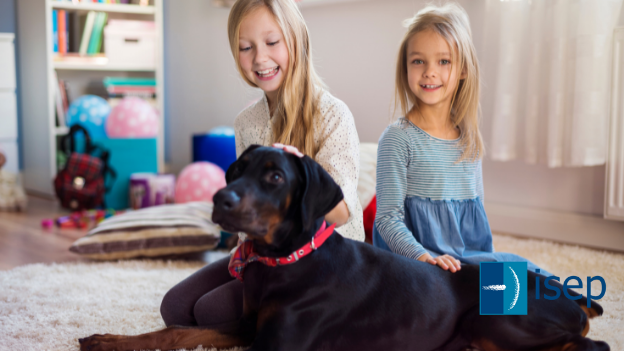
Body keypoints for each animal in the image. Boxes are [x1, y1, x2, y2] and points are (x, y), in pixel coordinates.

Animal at [79, 144, 608, 350]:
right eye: (234, 171)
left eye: (274, 177)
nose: (219, 199)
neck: (284, 263)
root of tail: (567, 293)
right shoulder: (249, 325)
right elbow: (175, 332)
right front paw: (106, 340)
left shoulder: (276, 344)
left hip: (496, 323)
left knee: (590, 343)